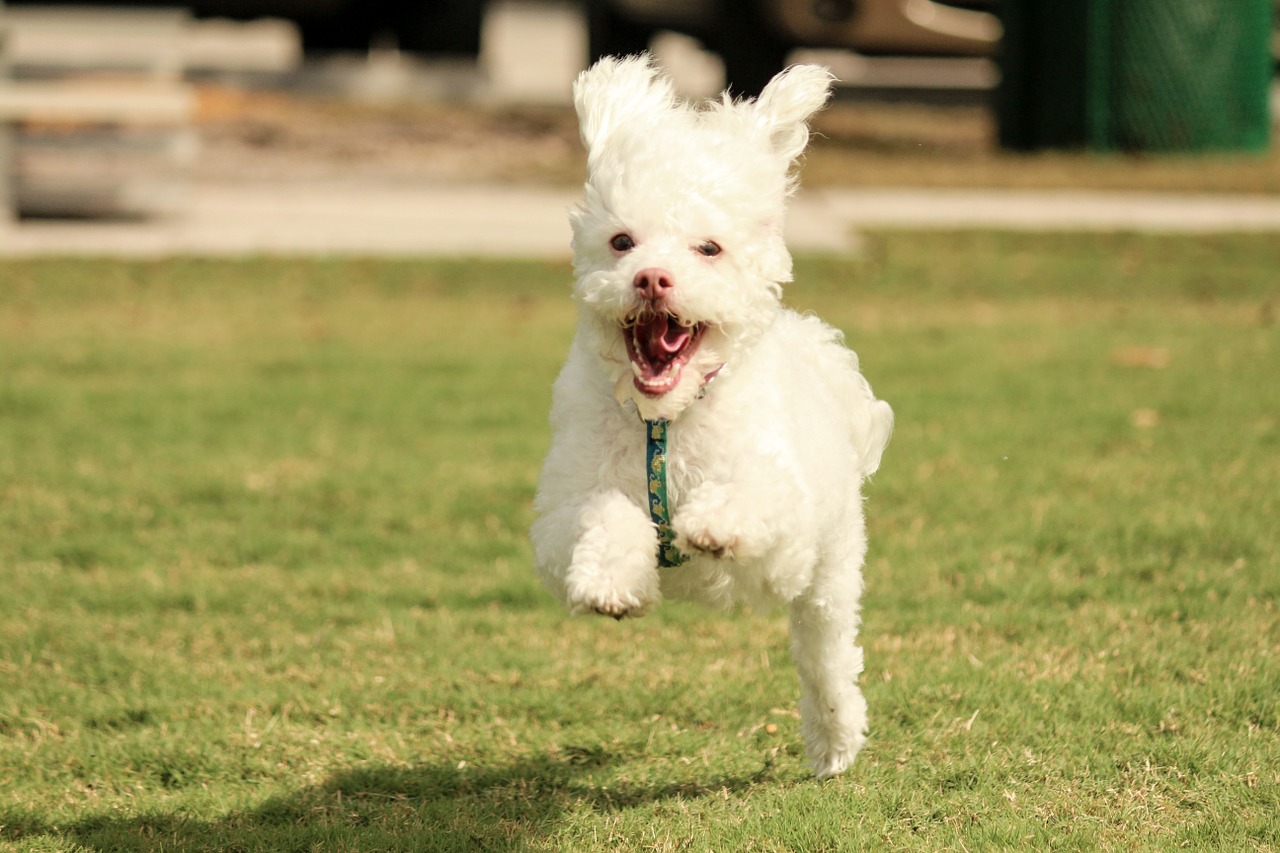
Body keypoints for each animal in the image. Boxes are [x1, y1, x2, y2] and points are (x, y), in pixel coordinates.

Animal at [527, 54, 890, 778]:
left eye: (709, 249)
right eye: (622, 242)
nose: (651, 279)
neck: (664, 420)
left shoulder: (788, 525)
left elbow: (752, 494)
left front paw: (714, 523)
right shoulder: (561, 514)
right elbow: (603, 514)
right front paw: (613, 583)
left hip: (830, 574)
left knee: (828, 658)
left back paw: (835, 740)